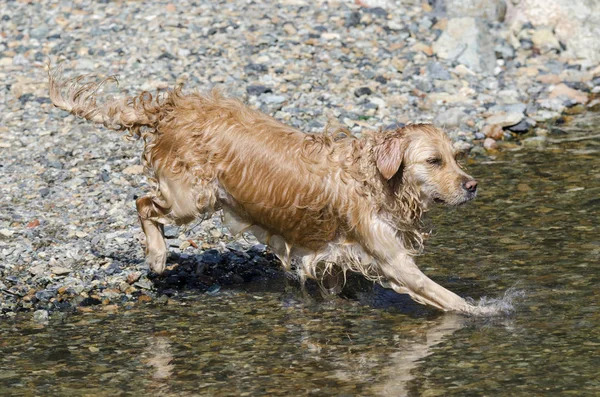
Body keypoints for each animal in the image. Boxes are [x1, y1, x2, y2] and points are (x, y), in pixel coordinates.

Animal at [48, 69, 492, 316]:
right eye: (434, 161)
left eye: (455, 157)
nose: (472, 184)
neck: (376, 180)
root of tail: (173, 108)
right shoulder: (389, 256)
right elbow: (438, 292)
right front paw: (482, 313)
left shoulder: (337, 253)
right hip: (192, 198)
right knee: (143, 203)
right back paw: (157, 256)